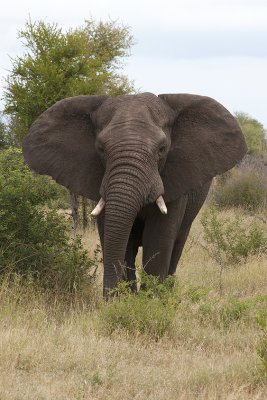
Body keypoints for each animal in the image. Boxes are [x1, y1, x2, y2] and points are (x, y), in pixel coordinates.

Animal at [22, 92, 248, 296]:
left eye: (162, 148)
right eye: (101, 149)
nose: (109, 299)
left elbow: (158, 239)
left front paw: (150, 304)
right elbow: (118, 239)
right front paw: (128, 300)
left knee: (177, 247)